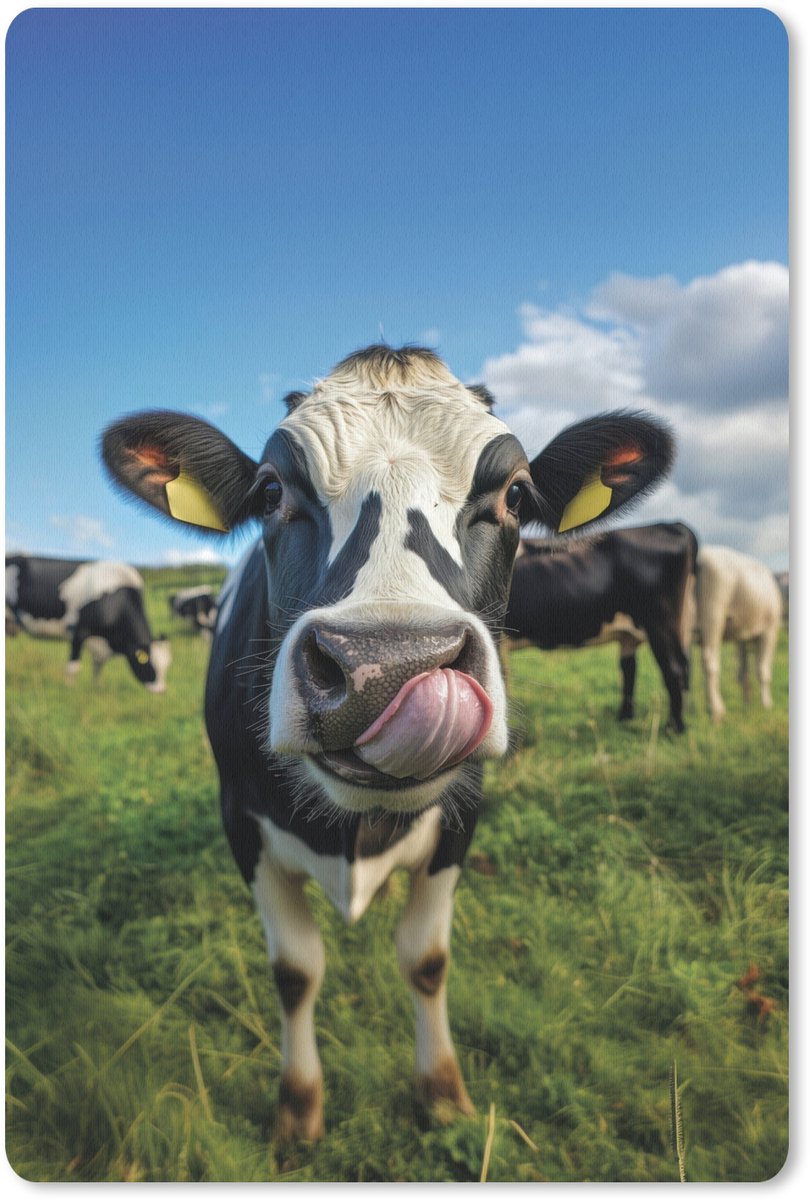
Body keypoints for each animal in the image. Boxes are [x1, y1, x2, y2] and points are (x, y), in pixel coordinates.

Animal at [5, 554, 171, 692]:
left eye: (167, 665)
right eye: (147, 663)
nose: (161, 691)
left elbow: (97, 668)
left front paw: (96, 689)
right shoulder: (78, 631)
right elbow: (73, 667)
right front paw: (69, 690)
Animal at [101, 344, 673, 1139]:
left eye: (517, 496)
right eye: (270, 491)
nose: (387, 667)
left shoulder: (462, 818)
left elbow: (425, 960)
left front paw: (442, 1090)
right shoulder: (240, 819)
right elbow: (295, 970)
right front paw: (298, 1107)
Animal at [503, 522, 698, 733]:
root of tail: (673, 525)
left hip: (660, 622)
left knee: (674, 669)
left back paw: (673, 728)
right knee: (632, 669)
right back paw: (625, 718)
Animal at [694, 544, 784, 722]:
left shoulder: (742, 638)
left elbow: (743, 672)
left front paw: (747, 704)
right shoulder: (770, 631)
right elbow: (763, 670)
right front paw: (766, 705)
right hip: (712, 615)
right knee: (710, 660)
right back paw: (716, 710)